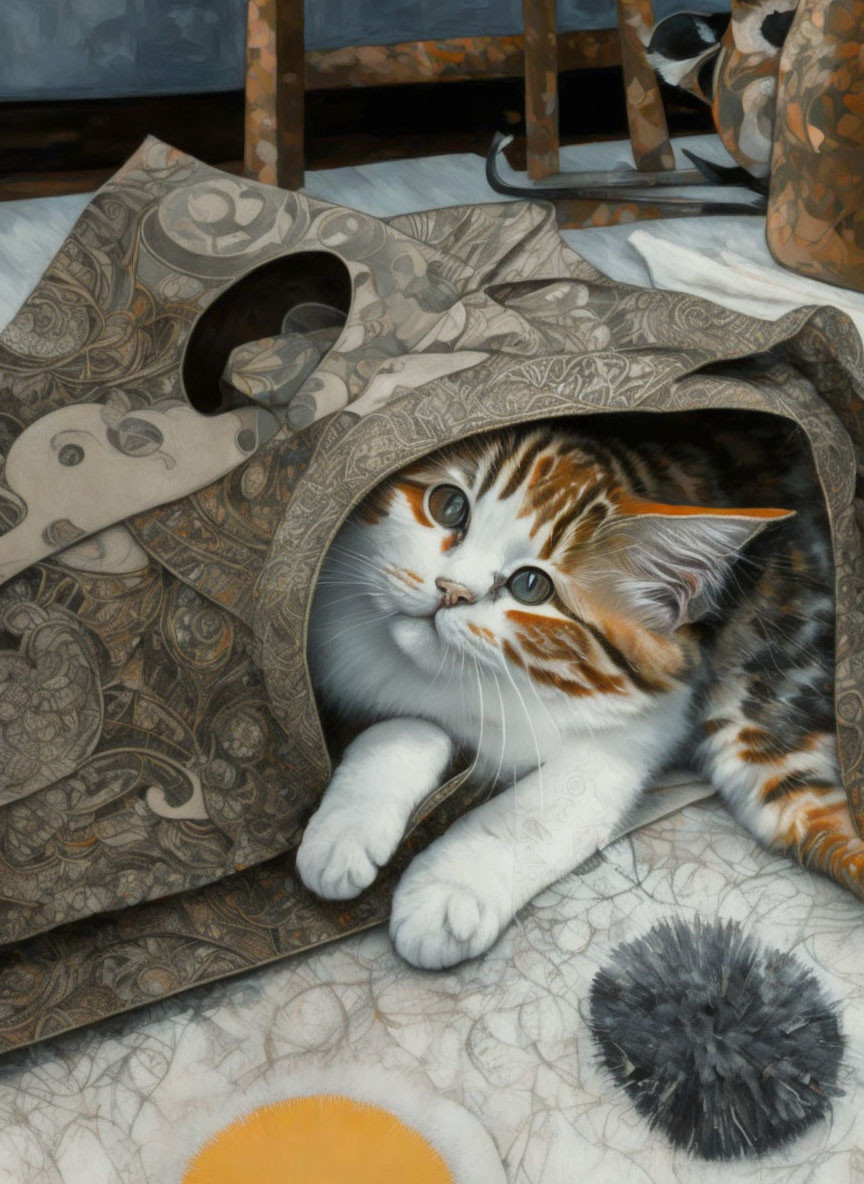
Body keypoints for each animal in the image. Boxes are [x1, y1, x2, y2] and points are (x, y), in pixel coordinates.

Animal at [294, 421, 856, 966]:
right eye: (449, 506)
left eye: (530, 586)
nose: (451, 591)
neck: (461, 680)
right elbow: (408, 725)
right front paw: (345, 828)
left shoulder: (644, 724)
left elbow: (539, 811)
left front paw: (450, 889)